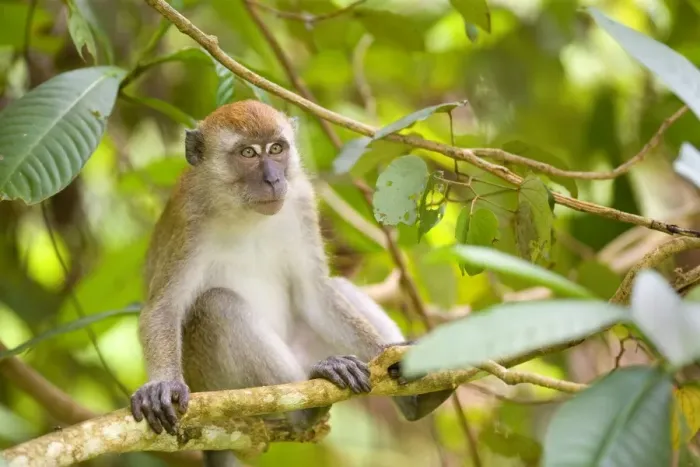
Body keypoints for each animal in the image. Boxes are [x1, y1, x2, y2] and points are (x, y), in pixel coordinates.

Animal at [129, 100, 454, 467]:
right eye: (248, 153)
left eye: (276, 148)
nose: (273, 178)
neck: (242, 209)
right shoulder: (190, 221)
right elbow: (164, 307)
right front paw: (161, 385)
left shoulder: (300, 200)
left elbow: (315, 292)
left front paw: (397, 361)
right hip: (215, 389)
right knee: (216, 305)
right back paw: (307, 408)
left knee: (336, 288)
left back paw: (416, 400)